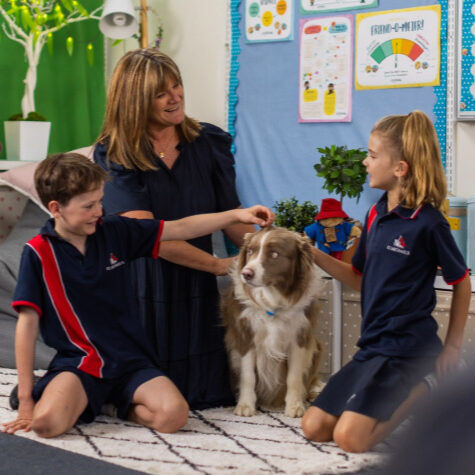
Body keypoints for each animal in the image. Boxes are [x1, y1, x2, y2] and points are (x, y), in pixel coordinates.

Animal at [222, 227, 324, 416]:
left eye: (275, 254)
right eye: (250, 251)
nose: (246, 274)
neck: (272, 299)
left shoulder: (299, 337)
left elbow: (294, 376)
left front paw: (295, 406)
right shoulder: (245, 336)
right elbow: (248, 375)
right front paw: (245, 405)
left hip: (316, 346)